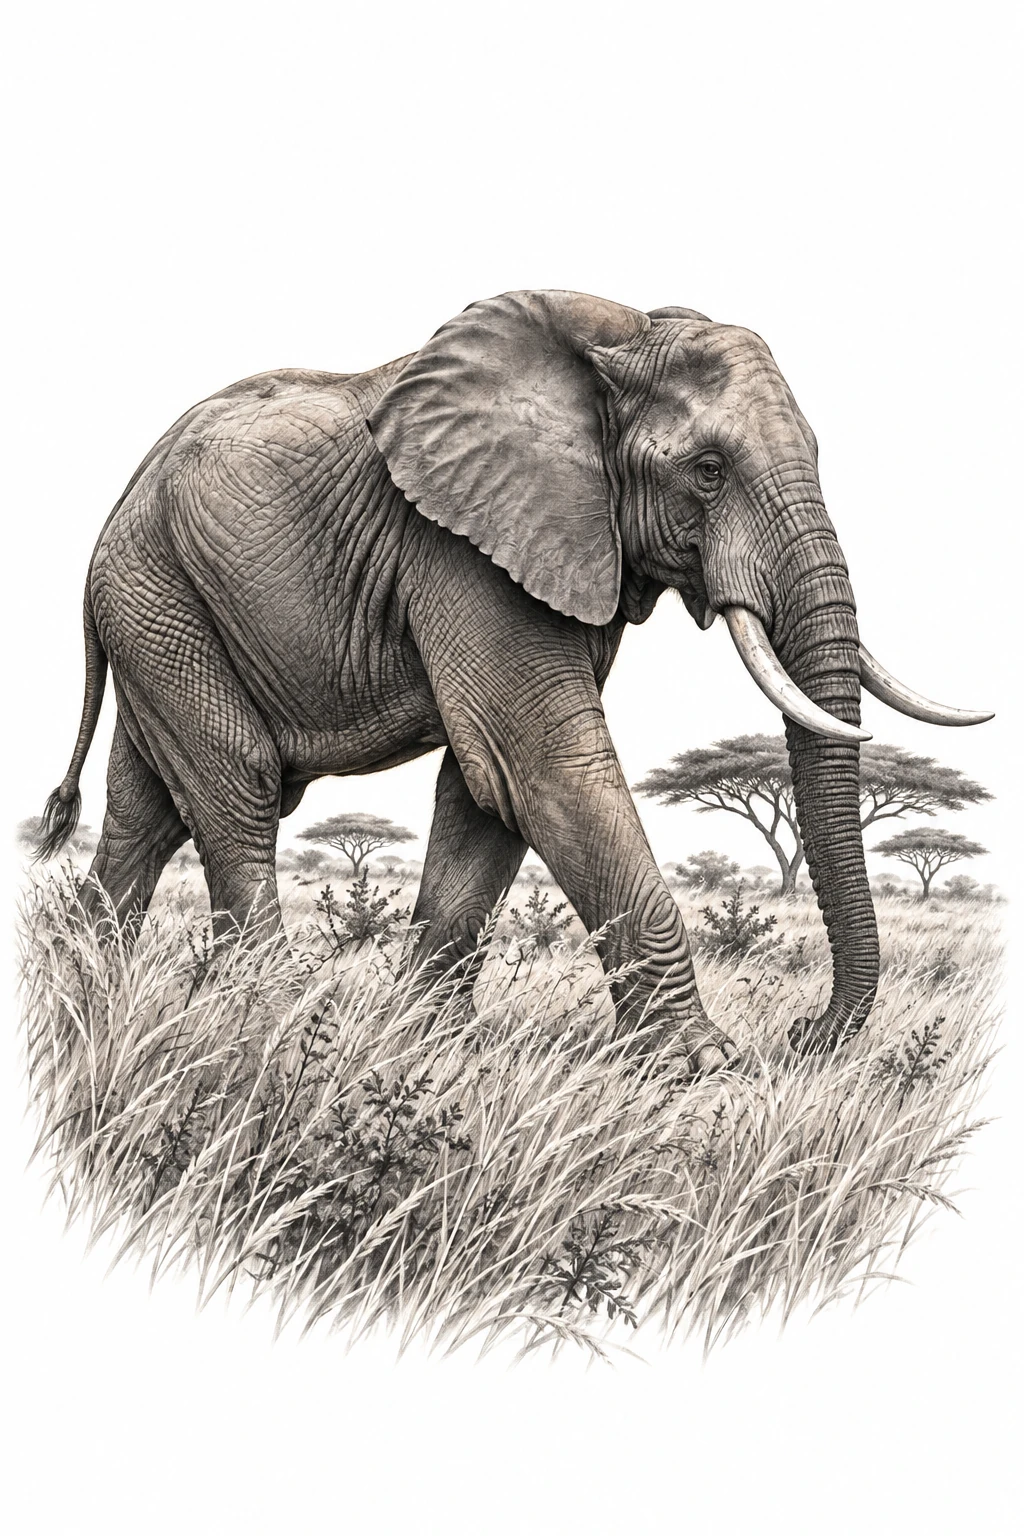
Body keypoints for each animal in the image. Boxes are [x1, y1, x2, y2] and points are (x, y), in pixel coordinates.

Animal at [40, 290, 992, 1075]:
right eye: (709, 470)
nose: (803, 1036)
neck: (614, 344)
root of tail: (121, 499)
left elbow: (485, 788)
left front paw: (427, 1046)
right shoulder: (460, 547)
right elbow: (540, 766)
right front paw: (702, 1066)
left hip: (158, 607)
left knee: (148, 813)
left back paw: (80, 990)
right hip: (156, 591)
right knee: (238, 783)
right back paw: (266, 1017)